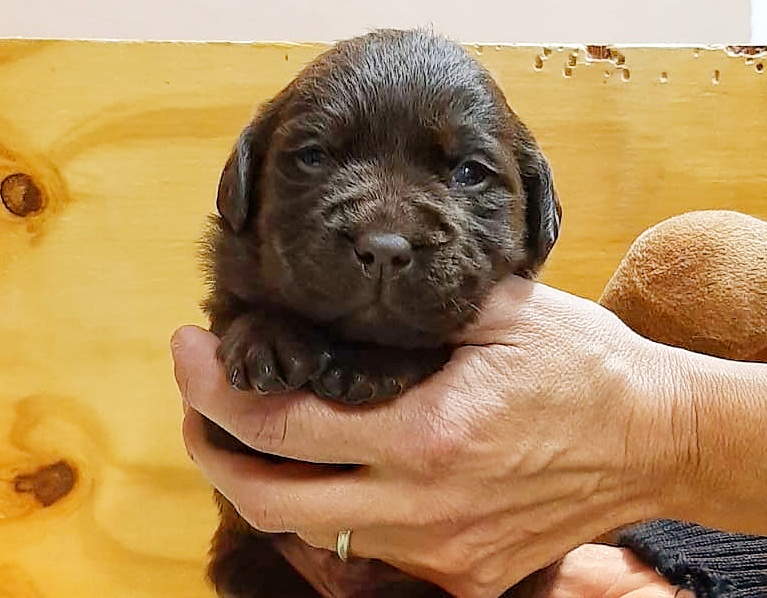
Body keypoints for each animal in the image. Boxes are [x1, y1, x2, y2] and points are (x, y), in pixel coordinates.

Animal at [202, 28, 564, 598]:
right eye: (313, 157)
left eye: (469, 172)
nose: (383, 248)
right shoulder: (223, 437)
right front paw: (271, 340)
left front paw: (368, 365)